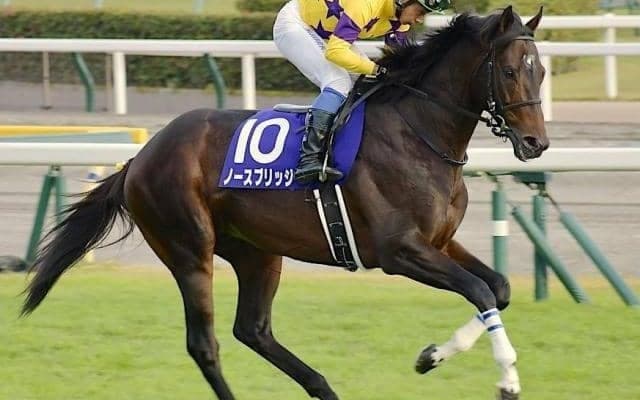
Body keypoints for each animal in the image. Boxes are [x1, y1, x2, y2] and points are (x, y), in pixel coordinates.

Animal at [21, 6, 548, 400]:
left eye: (540, 71)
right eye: (508, 71)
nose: (536, 143)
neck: (418, 132)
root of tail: (139, 158)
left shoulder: (438, 241)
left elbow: (497, 289)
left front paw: (430, 356)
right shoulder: (399, 251)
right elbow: (480, 292)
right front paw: (508, 379)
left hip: (257, 251)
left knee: (253, 330)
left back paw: (324, 388)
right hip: (189, 249)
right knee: (205, 344)